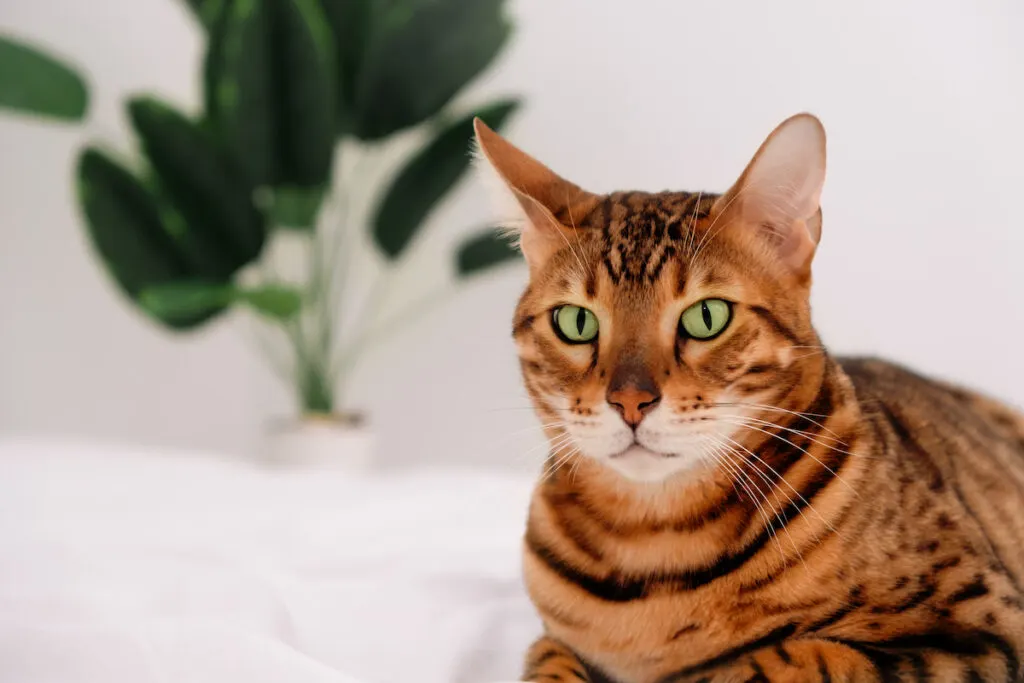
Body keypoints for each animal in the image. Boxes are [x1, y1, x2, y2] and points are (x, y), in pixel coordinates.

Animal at [475, 114, 1024, 679]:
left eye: (707, 316)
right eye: (576, 322)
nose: (629, 401)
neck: (650, 542)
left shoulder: (983, 633)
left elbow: (778, 658)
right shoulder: (550, 639)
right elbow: (546, 661)